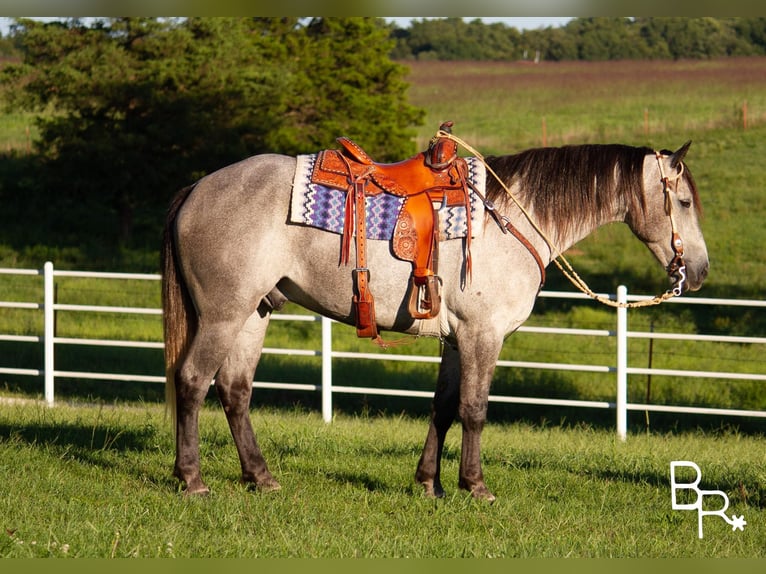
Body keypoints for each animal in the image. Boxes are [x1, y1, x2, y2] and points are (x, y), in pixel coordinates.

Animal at [164, 138, 712, 500]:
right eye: (683, 202)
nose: (701, 271)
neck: (511, 220)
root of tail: (197, 187)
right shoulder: (482, 335)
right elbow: (474, 410)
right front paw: (475, 486)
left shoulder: (455, 340)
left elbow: (443, 408)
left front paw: (429, 483)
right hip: (223, 314)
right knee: (192, 381)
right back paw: (192, 480)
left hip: (253, 313)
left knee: (234, 390)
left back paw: (260, 477)